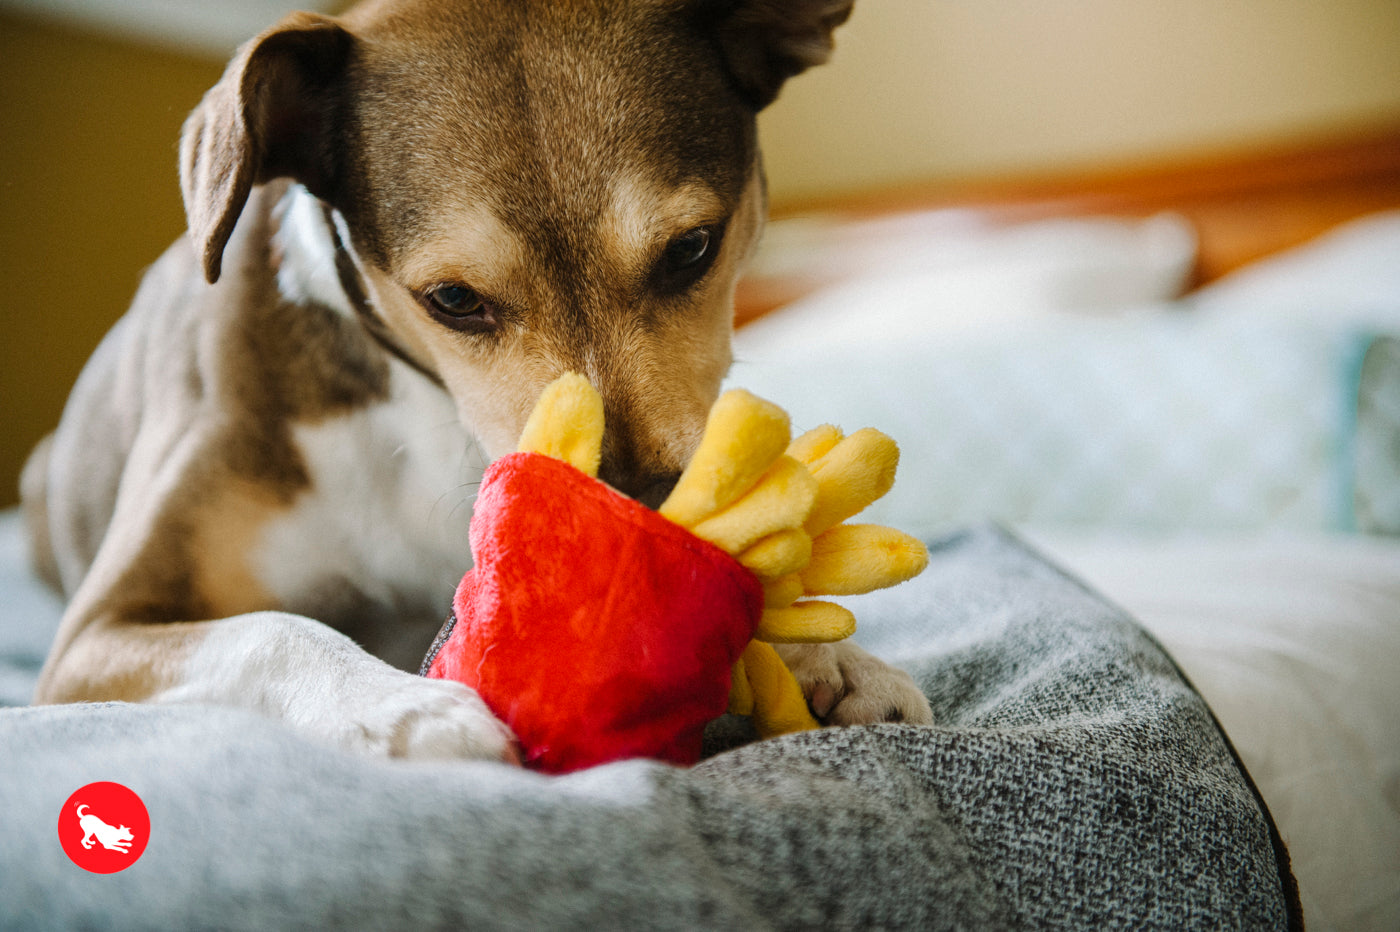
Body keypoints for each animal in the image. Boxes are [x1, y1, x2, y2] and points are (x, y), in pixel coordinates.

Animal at [19, 0, 929, 761]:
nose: (638, 517)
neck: (421, 414)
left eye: (691, 249)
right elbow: (270, 630)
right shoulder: (94, 637)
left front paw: (826, 655)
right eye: (453, 300)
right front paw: (399, 707)